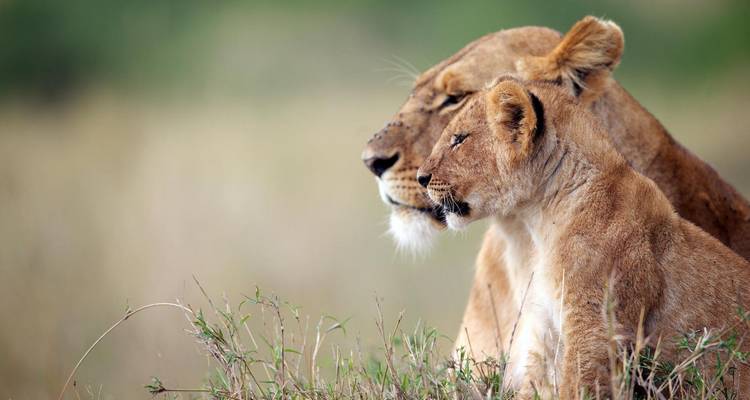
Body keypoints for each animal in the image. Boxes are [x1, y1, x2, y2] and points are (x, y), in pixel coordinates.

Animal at [418, 75, 750, 399]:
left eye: (459, 139)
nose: (421, 178)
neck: (540, 221)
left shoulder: (596, 327)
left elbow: (579, 384)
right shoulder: (547, 330)